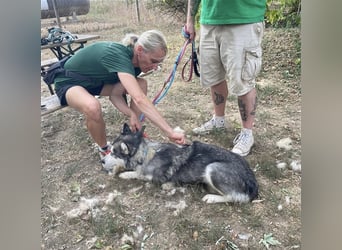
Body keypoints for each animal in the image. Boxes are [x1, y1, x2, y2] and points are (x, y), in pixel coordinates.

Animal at [108, 123, 258, 203]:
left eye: (113, 152)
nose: (103, 160)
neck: (145, 153)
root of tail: (253, 183)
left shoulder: (153, 177)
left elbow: (138, 174)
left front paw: (126, 174)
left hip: (213, 168)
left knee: (234, 197)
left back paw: (212, 198)